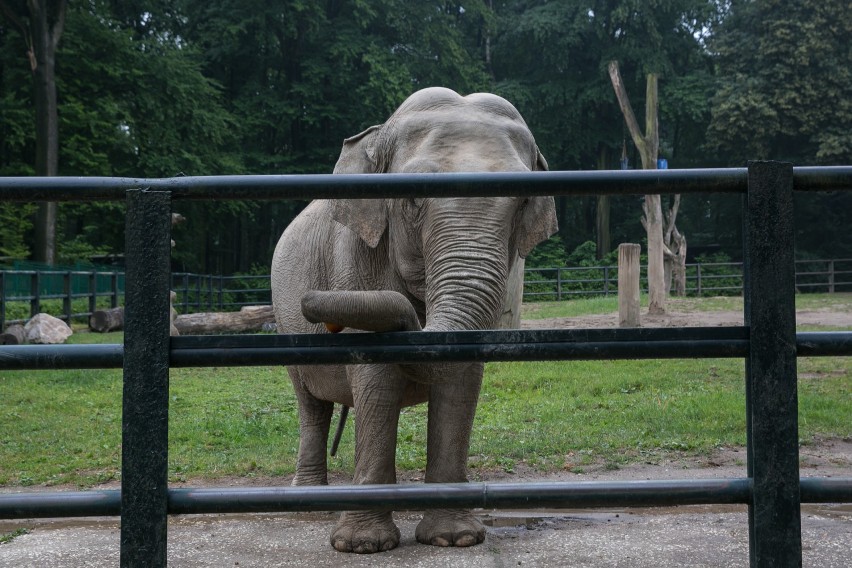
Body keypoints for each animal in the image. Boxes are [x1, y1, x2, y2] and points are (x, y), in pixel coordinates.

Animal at [270, 86, 556, 552]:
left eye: (524, 201)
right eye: (414, 197)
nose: (313, 304)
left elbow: (460, 380)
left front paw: (454, 538)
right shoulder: (356, 259)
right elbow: (375, 376)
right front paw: (361, 546)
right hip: (283, 317)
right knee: (311, 405)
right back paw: (310, 504)